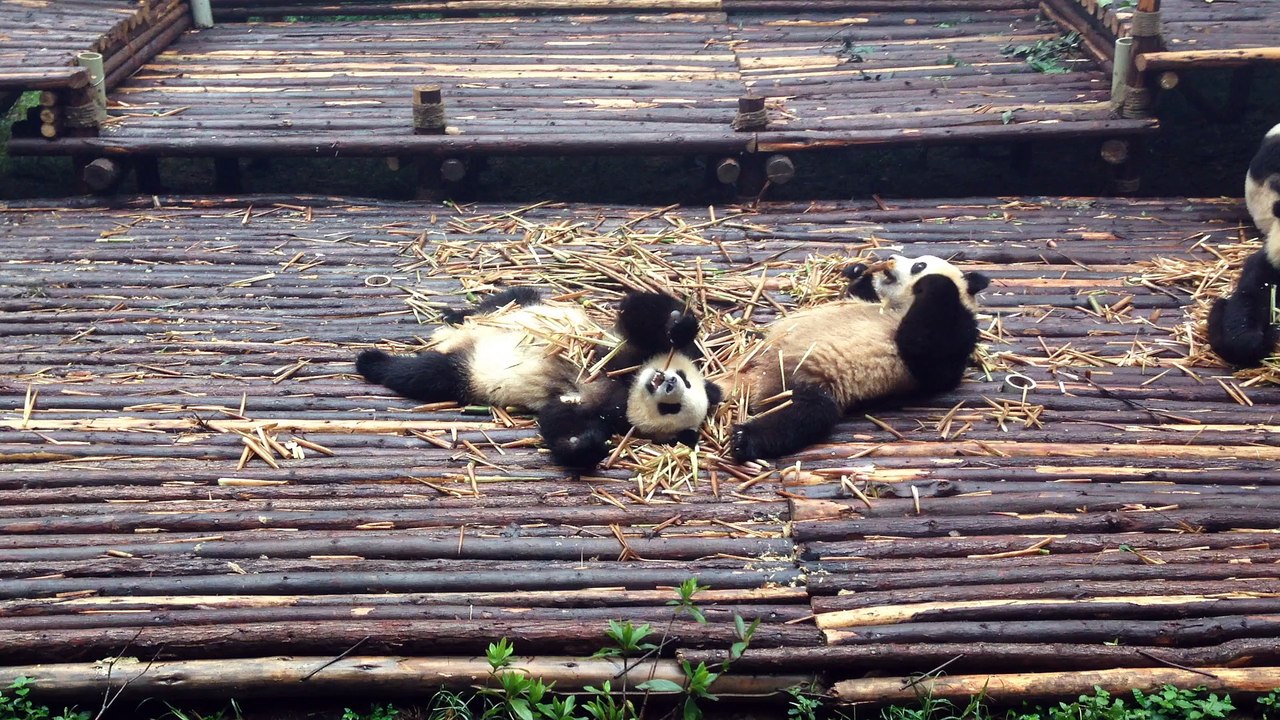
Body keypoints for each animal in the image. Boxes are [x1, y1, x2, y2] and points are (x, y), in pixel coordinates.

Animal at [355, 288, 722, 469]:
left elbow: (562, 420)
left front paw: (584, 445)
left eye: (672, 409)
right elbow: (640, 316)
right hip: (511, 308)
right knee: (505, 298)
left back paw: (376, 362)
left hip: (464, 371)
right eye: (685, 380)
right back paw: (448, 317)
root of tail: (452, 340)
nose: (668, 383)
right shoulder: (624, 353)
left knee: (426, 374)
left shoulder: (599, 406)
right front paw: (678, 325)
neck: (628, 385)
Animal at [726, 254, 989, 463]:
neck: (899, 305)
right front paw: (858, 270)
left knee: (804, 414)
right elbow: (855, 294)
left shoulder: (953, 337)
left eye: (919, 264)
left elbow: (925, 349)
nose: (890, 258)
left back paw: (743, 438)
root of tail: (756, 379)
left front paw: (934, 282)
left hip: (805, 383)